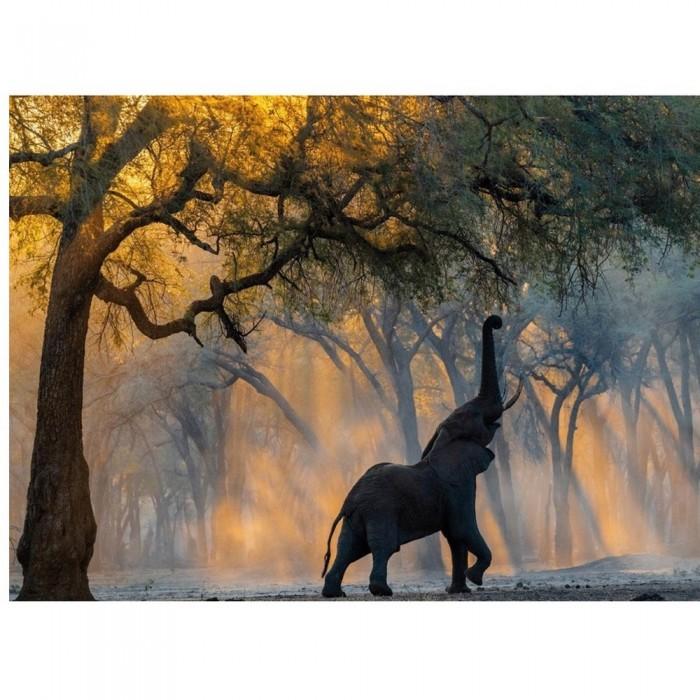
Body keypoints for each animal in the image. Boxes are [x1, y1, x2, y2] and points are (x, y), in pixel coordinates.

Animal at [321, 315, 522, 597]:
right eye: (476, 415)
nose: (497, 321)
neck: (442, 441)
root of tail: (349, 501)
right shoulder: (457, 487)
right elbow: (463, 528)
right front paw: (475, 578)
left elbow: (455, 537)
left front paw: (459, 590)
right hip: (380, 510)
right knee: (382, 547)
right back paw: (382, 590)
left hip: (354, 519)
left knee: (348, 549)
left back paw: (334, 593)